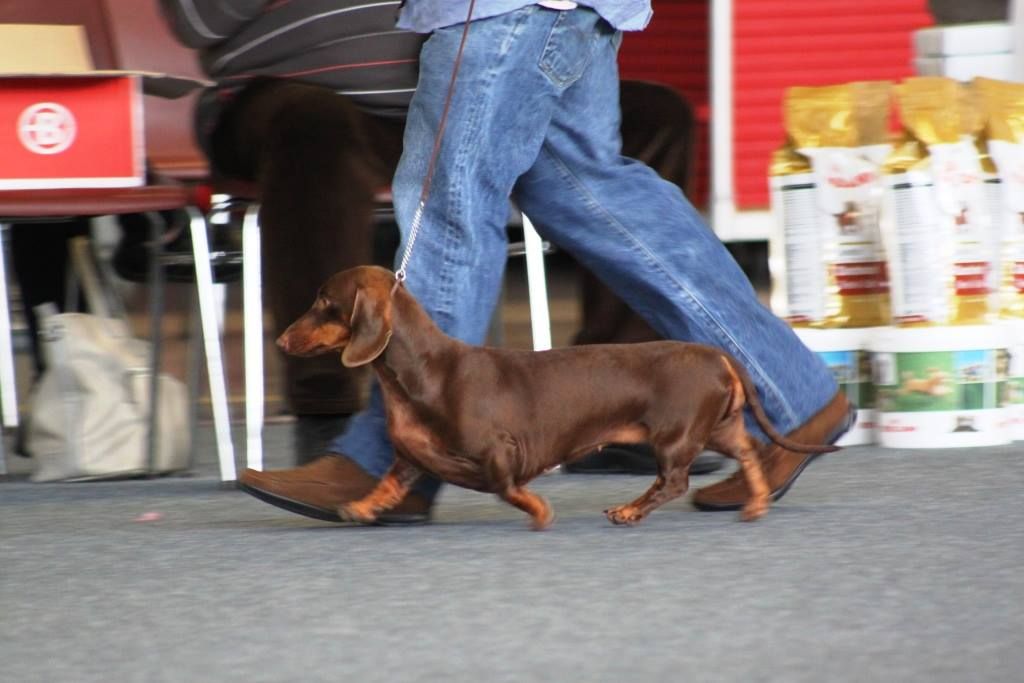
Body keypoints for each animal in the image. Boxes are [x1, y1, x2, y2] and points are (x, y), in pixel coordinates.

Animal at [276, 266, 835, 528]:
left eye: (324, 303)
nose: (279, 341)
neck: (425, 372)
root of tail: (718, 355)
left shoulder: (498, 450)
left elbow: (505, 486)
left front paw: (539, 510)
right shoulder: (411, 455)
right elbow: (389, 482)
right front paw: (361, 506)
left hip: (675, 435)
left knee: (673, 480)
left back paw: (630, 511)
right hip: (716, 427)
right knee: (749, 453)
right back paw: (756, 501)